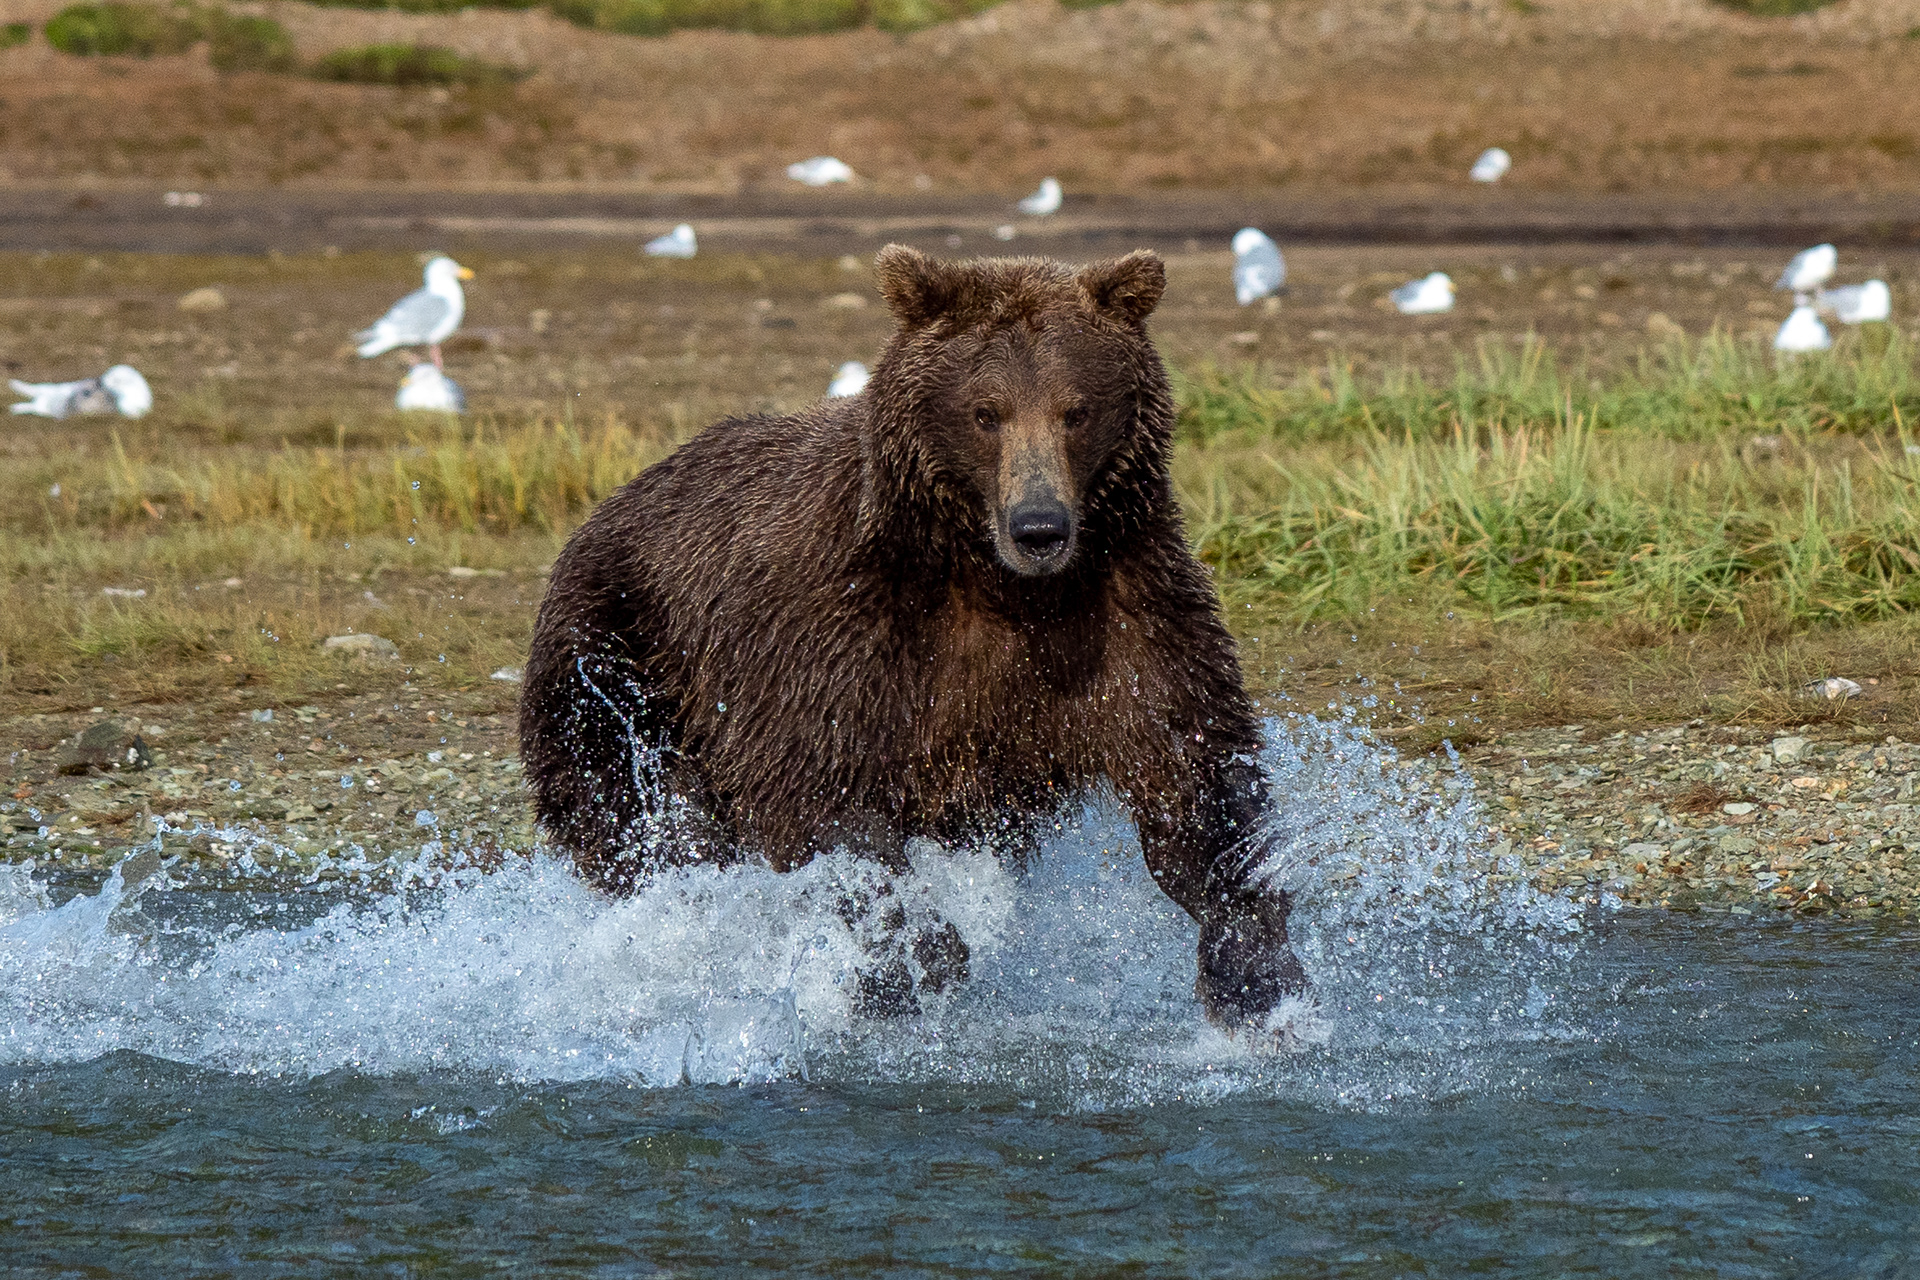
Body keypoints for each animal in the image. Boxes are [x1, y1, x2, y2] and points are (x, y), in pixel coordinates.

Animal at [518, 244, 1306, 1029]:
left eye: (1076, 409)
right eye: (986, 412)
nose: (1040, 527)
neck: (1003, 587)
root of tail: (610, 504)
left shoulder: (1127, 618)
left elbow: (1197, 786)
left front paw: (1254, 972)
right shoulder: (841, 636)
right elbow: (821, 801)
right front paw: (917, 959)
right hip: (614, 667)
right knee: (640, 822)